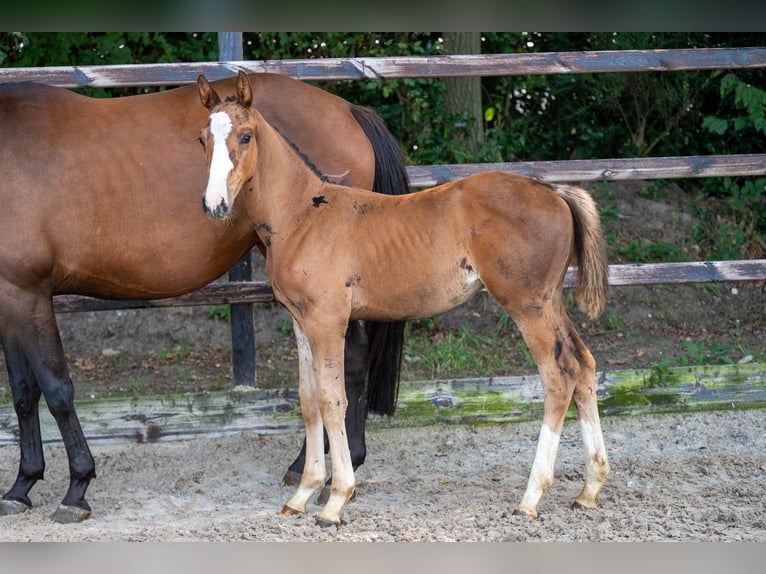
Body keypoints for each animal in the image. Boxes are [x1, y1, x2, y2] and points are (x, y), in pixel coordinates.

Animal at [0, 74, 412, 524]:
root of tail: (348, 110)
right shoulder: (10, 299)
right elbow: (23, 393)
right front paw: (21, 486)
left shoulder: (30, 295)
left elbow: (57, 390)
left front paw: (76, 488)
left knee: (347, 363)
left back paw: (334, 472)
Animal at [196, 73, 612, 532]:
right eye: (202, 139)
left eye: (246, 136)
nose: (214, 205)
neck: (304, 216)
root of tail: (552, 189)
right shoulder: (300, 320)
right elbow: (308, 400)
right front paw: (302, 494)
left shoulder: (328, 319)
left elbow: (332, 399)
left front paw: (335, 500)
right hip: (551, 301)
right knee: (583, 365)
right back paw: (589, 489)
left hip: (527, 305)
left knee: (557, 376)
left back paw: (530, 497)